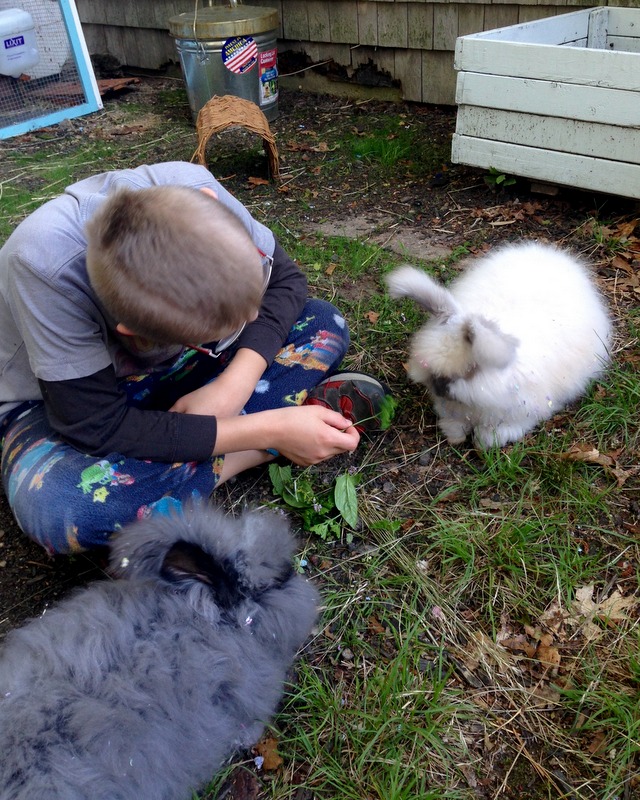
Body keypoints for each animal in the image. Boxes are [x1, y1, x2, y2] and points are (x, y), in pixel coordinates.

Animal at [384, 241, 608, 446]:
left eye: (471, 369)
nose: (439, 388)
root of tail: (551, 255)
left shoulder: (519, 414)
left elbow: (496, 433)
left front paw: (483, 443)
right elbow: (454, 424)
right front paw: (455, 437)